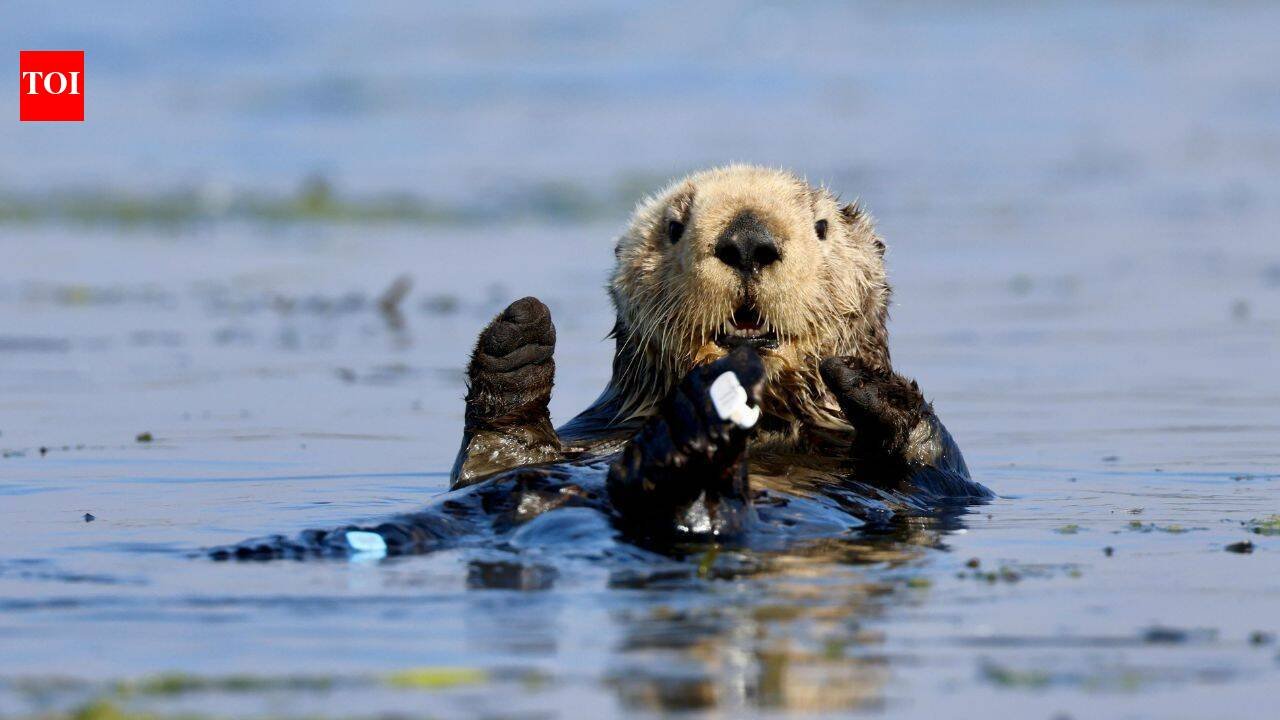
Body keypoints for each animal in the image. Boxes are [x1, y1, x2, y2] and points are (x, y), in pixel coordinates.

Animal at [213, 165, 990, 560]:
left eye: (821, 227)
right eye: (675, 226)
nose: (747, 240)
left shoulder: (941, 487)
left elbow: (936, 467)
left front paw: (867, 380)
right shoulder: (592, 433)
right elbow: (493, 458)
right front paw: (518, 337)